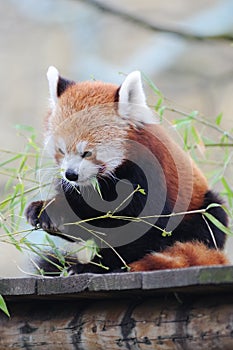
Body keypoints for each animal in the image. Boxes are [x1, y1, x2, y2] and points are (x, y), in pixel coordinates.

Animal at [25, 66, 229, 274]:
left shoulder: (150, 181)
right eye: (61, 150)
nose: (71, 175)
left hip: (203, 207)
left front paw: (99, 265)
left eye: (87, 153)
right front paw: (47, 210)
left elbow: (143, 235)